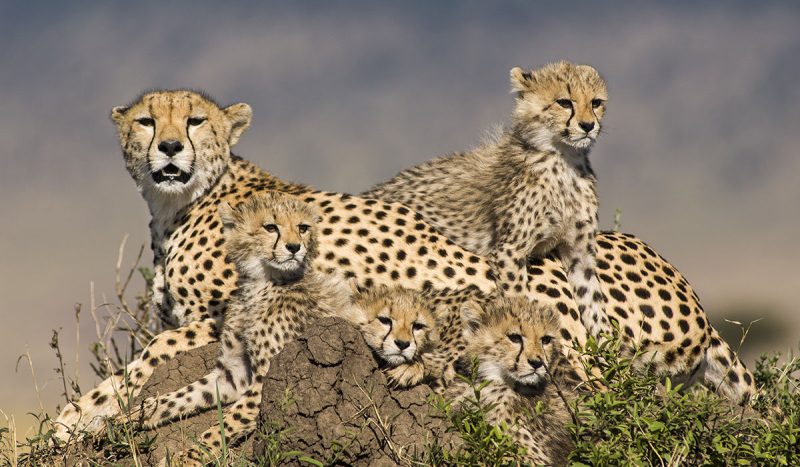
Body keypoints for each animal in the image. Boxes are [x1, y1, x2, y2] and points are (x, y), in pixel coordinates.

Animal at [54, 89, 754, 447]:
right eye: (148, 121)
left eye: (195, 120)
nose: (171, 148)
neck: (181, 201)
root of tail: (689, 292)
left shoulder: (214, 317)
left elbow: (146, 358)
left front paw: (78, 417)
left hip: (539, 282)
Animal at [364, 60, 612, 338]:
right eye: (564, 102)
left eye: (596, 102)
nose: (588, 125)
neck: (564, 159)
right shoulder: (509, 251)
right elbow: (518, 297)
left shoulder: (580, 251)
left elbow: (593, 302)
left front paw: (607, 345)